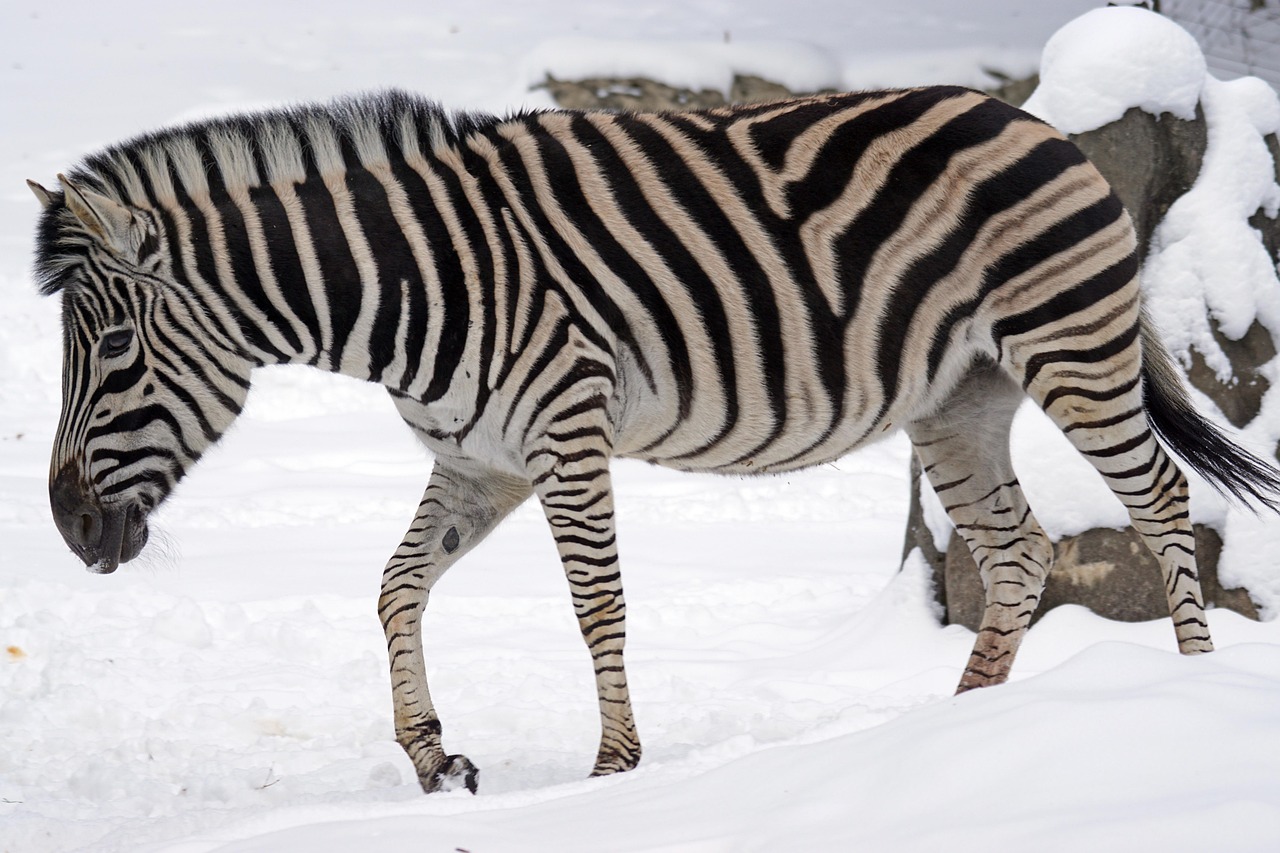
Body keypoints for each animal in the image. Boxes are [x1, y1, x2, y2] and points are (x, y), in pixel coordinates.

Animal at [30, 87, 1280, 794]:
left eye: (115, 350)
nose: (68, 528)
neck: (408, 286)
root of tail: (1037, 122)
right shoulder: (477, 461)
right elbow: (392, 586)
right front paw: (434, 755)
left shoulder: (562, 430)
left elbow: (597, 605)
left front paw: (611, 773)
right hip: (956, 398)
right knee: (1016, 549)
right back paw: (973, 721)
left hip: (1064, 345)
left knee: (1160, 501)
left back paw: (1184, 690)